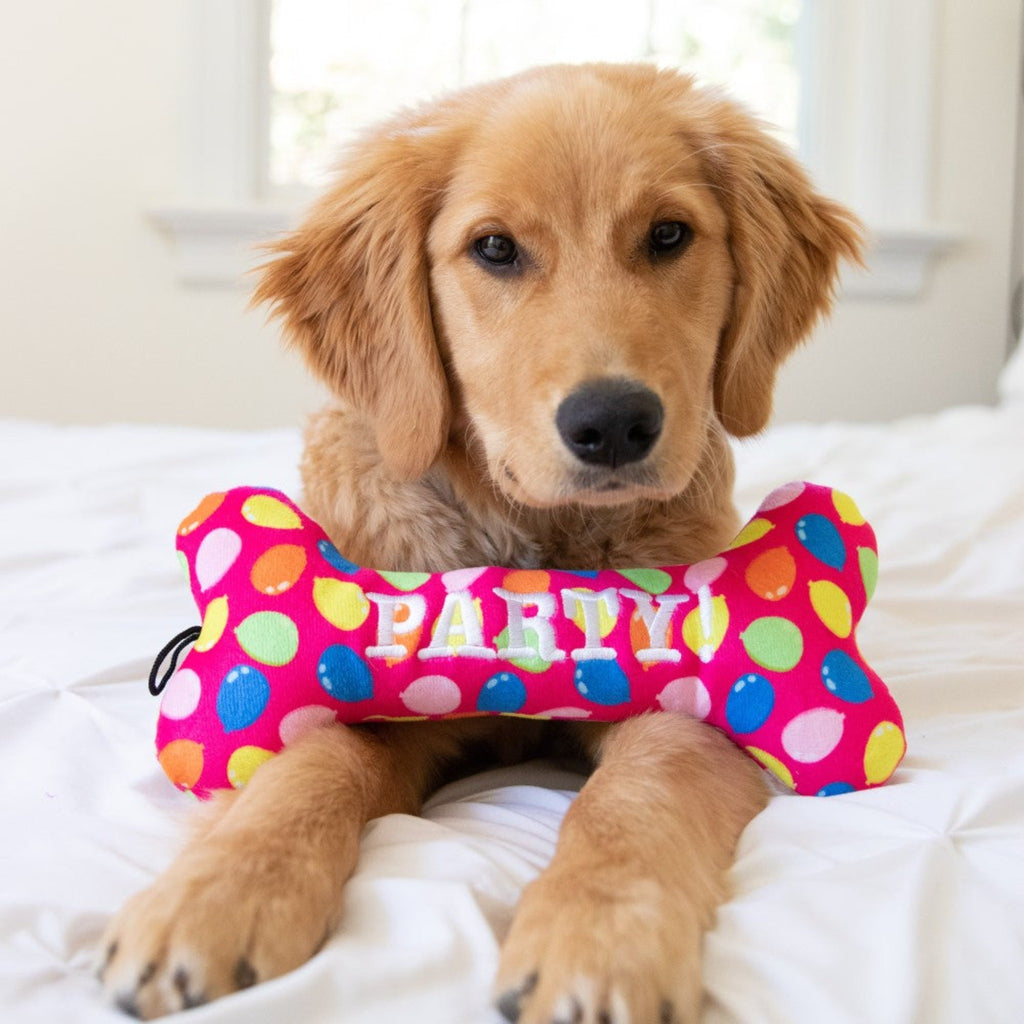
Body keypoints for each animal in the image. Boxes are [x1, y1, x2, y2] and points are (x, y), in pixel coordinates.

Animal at [101, 66, 856, 1024]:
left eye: (669, 235)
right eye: (495, 249)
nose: (614, 424)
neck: (532, 546)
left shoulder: (691, 697)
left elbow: (640, 793)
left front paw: (600, 938)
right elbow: (313, 761)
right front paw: (219, 892)